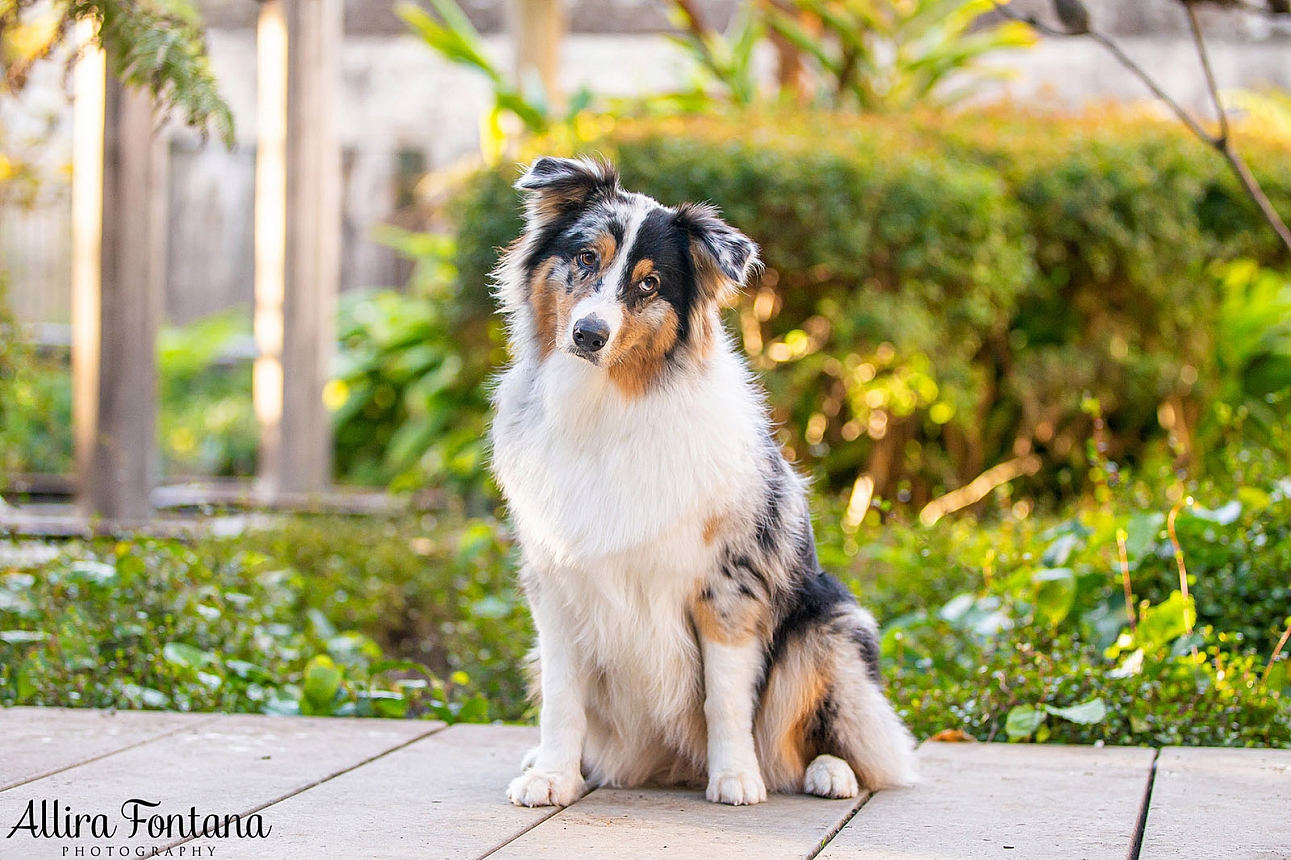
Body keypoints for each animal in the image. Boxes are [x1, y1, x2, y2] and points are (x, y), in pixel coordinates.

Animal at [485, 155, 919, 805]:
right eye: (586, 257)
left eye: (649, 284)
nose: (588, 335)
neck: (606, 405)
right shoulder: (558, 589)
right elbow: (562, 700)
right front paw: (554, 777)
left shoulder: (728, 587)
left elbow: (726, 698)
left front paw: (736, 776)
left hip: (831, 626)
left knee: (853, 743)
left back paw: (829, 772)